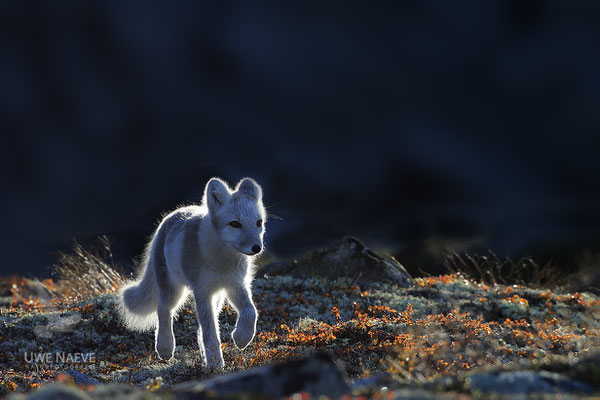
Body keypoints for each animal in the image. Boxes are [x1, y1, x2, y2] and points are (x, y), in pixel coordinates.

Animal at [118, 178, 266, 368]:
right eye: (235, 224)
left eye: (259, 222)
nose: (257, 248)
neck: (222, 261)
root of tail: (171, 216)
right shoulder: (202, 291)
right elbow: (211, 335)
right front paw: (215, 365)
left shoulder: (235, 284)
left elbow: (250, 311)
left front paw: (241, 338)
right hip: (173, 290)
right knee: (163, 310)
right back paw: (165, 347)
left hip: (217, 297)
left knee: (201, 328)